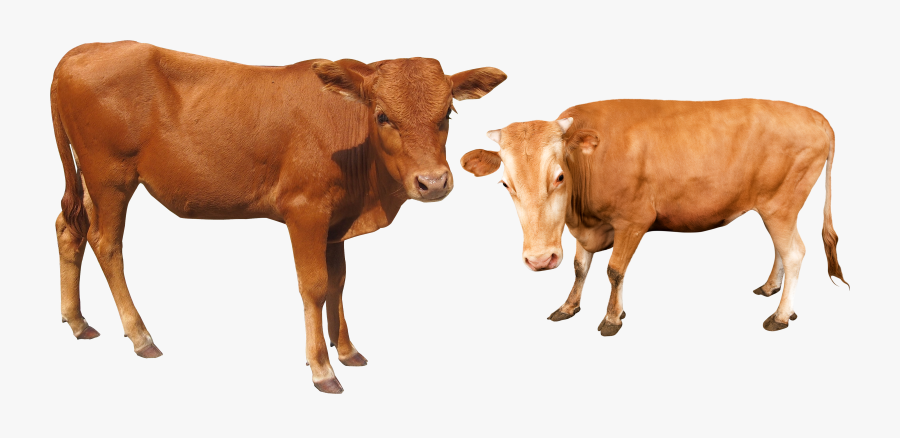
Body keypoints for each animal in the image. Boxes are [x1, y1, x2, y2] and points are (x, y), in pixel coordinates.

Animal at [51, 41, 506, 393]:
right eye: (382, 116)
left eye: (447, 114)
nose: (433, 182)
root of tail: (83, 50)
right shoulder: (305, 210)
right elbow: (315, 286)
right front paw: (322, 368)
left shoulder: (336, 220)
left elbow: (339, 281)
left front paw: (347, 350)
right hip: (111, 177)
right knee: (107, 243)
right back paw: (141, 335)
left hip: (90, 181)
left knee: (70, 230)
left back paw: (77, 321)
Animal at [461, 99, 848, 335]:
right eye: (505, 183)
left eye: (558, 177)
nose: (540, 259)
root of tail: (817, 116)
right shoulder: (589, 229)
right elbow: (580, 267)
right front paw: (568, 306)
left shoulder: (634, 219)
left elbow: (614, 270)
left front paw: (612, 317)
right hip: (774, 207)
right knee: (783, 249)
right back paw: (771, 289)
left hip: (781, 204)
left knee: (795, 252)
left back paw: (781, 315)